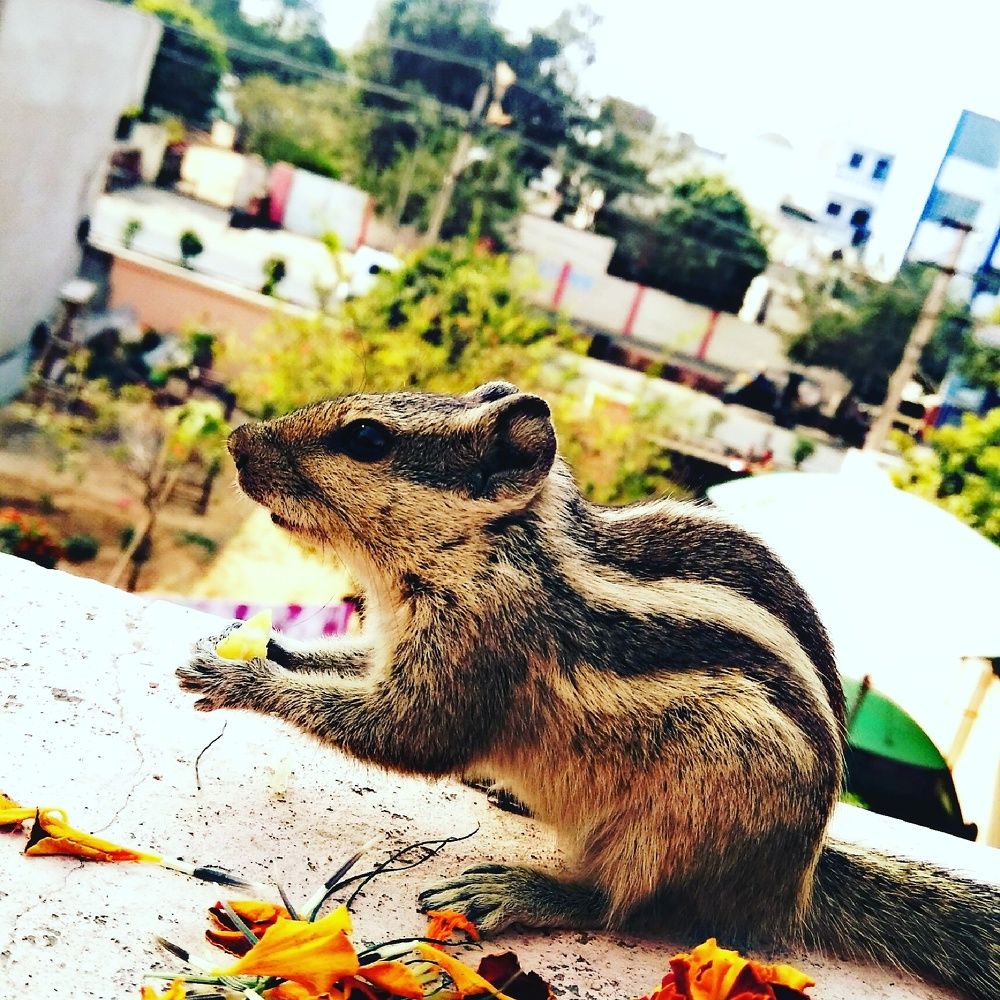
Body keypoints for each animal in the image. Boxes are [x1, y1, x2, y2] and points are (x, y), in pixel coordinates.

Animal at [177, 382, 999, 1000]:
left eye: (368, 439)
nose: (238, 442)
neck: (492, 547)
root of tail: (791, 885)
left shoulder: (475, 648)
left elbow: (410, 732)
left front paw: (242, 677)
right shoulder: (396, 645)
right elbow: (343, 669)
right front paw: (260, 646)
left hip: (685, 813)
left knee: (626, 907)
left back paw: (518, 890)